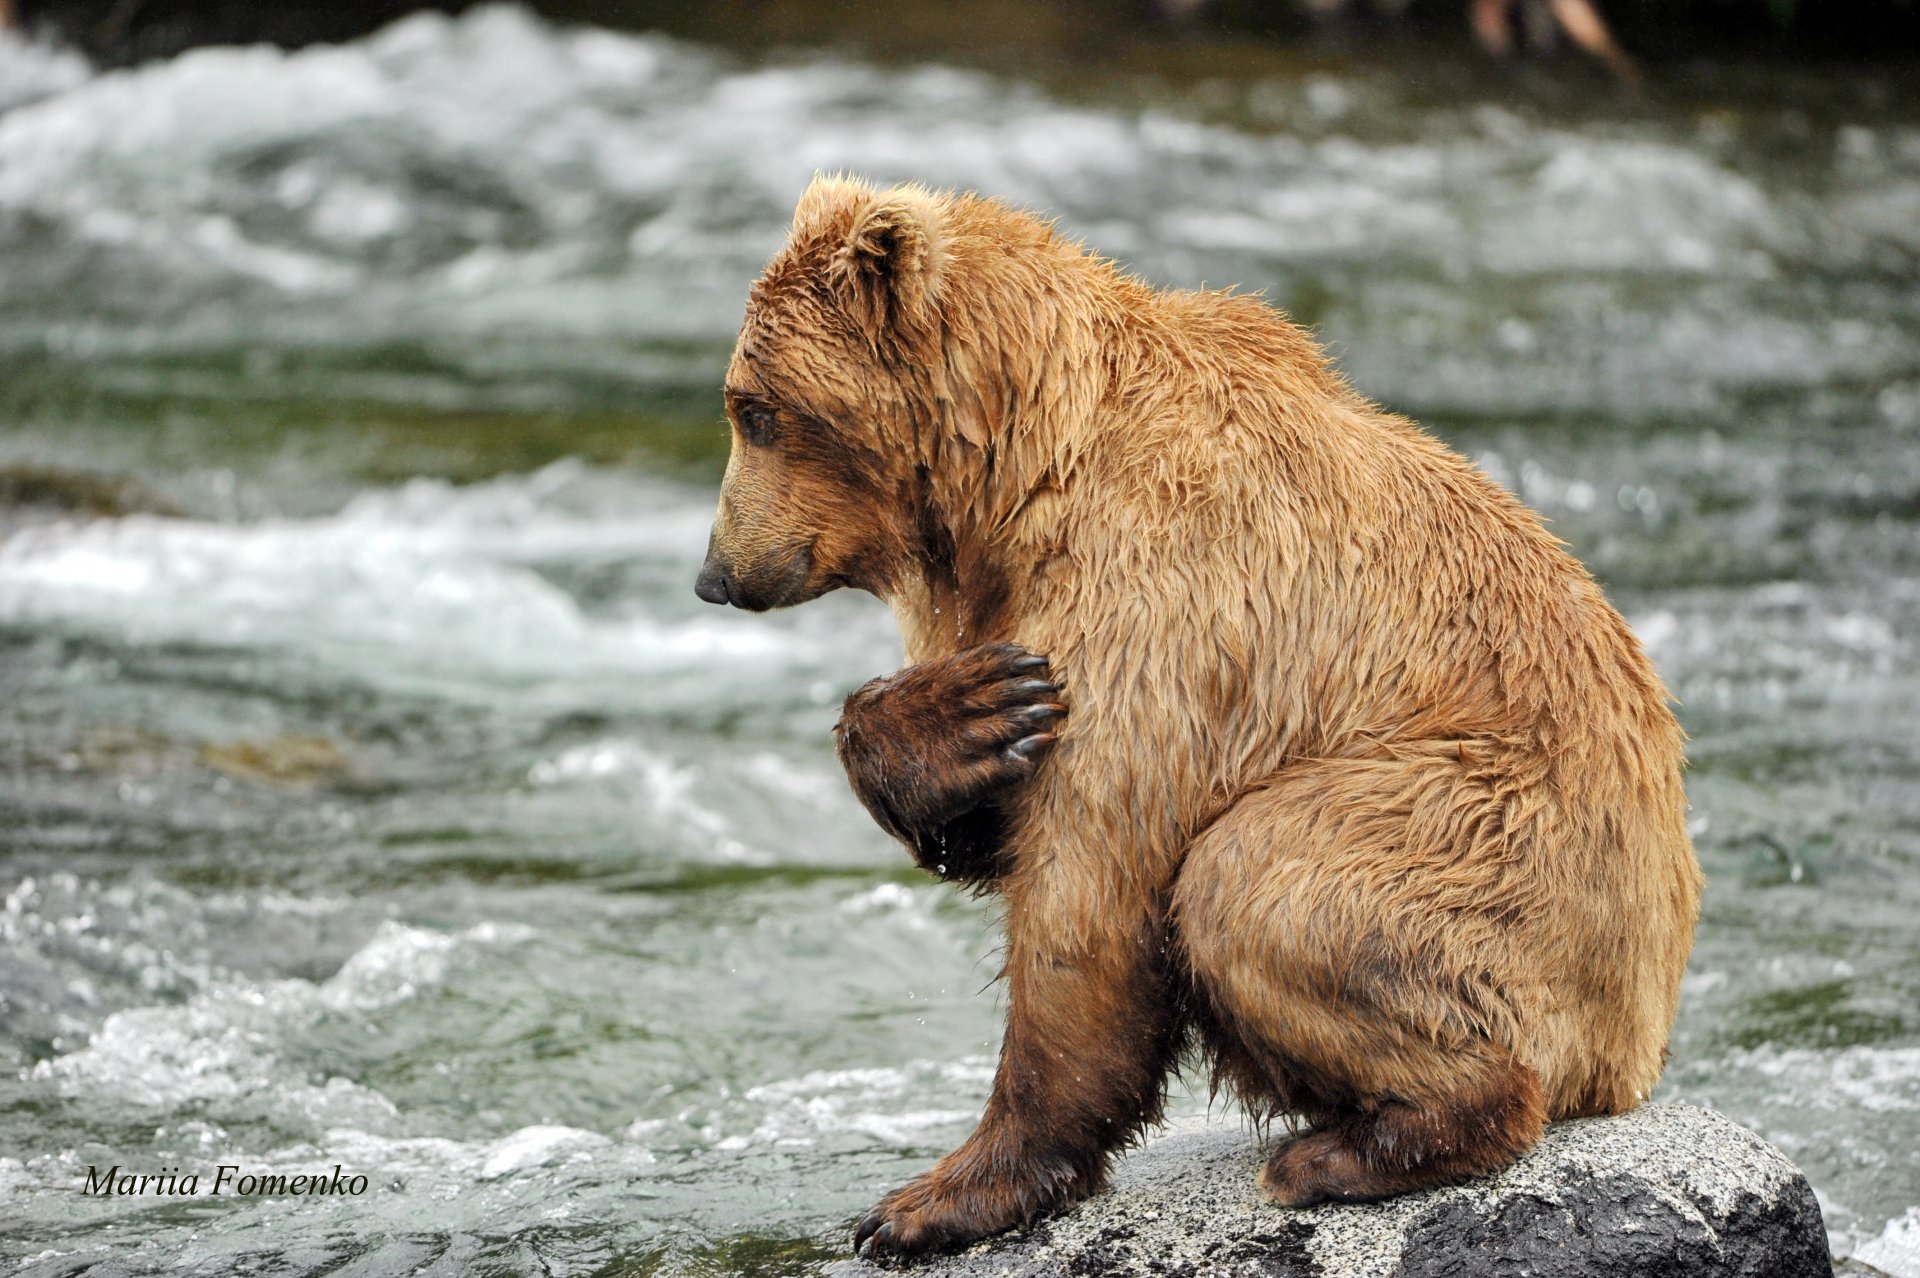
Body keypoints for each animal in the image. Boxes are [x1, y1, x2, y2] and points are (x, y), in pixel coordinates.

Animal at [693, 176, 1703, 1261]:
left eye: (757, 410)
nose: (716, 575)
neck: (1017, 479)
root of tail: (1637, 1041)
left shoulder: (1163, 609)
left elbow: (1090, 891)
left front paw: (934, 1199)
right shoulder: (1014, 604)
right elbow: (996, 816)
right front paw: (963, 717)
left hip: (1497, 838)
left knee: (1259, 882)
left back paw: (1346, 1151)